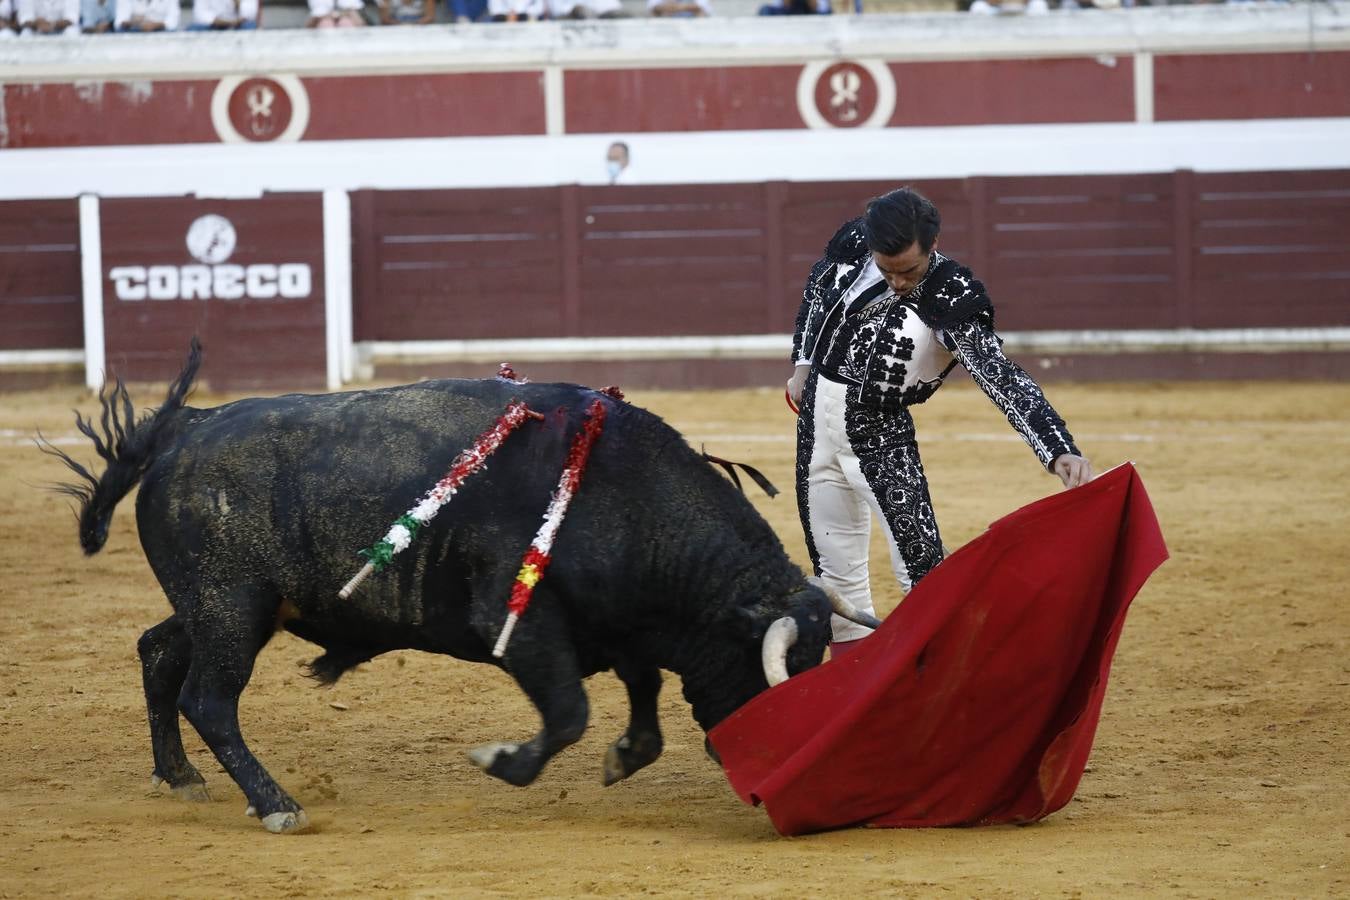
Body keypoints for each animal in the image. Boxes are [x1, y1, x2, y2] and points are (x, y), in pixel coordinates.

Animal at [44, 341, 874, 836]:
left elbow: (640, 711)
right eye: (772, 672)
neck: (624, 494)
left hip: (224, 607)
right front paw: (503, 762)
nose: (766, 775)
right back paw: (277, 806)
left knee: (158, 652)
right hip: (230, 609)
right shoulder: (523, 624)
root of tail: (184, 430)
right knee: (210, 699)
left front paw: (619, 758)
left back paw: (181, 778)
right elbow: (568, 714)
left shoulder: (618, 628)